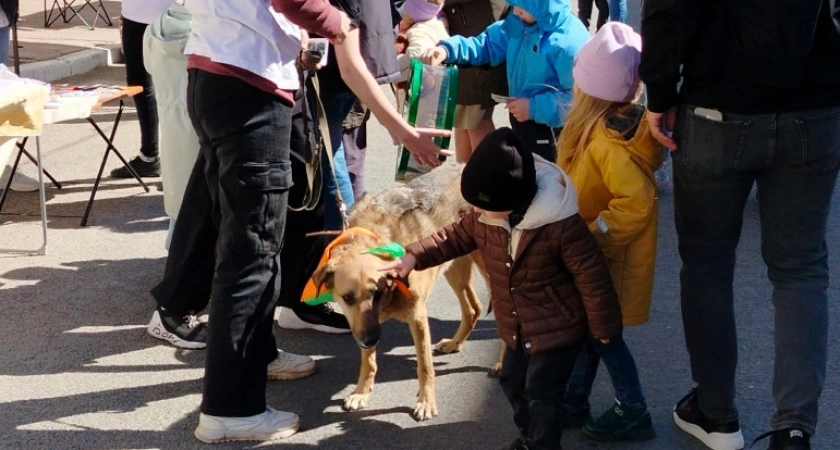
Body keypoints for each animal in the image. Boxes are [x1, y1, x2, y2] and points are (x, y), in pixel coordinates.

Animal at [308, 163, 492, 422]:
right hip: (455, 264)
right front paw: (361, 392)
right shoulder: (363, 325)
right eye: (347, 298)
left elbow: (424, 366)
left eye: (377, 292)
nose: (371, 339)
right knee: (473, 308)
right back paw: (454, 343)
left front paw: (426, 402)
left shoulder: (418, 317)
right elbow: (369, 362)